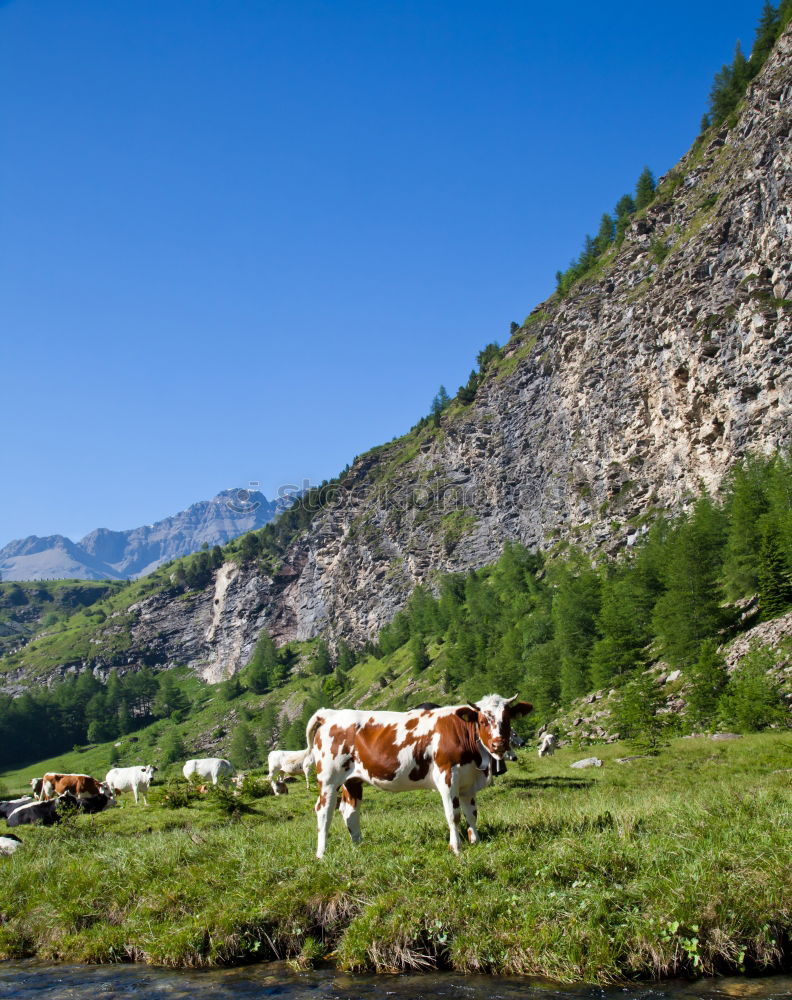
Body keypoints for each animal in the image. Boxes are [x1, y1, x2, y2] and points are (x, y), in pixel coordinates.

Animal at [304, 696, 532, 860]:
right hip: (329, 778)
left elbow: (472, 813)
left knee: (349, 810)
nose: (498, 744)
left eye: (507, 720)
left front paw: (475, 840)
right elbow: (454, 814)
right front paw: (456, 847)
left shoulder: (468, 781)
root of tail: (330, 713)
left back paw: (358, 846)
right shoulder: (447, 776)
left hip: (352, 780)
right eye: (483, 721)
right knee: (324, 810)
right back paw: (322, 853)